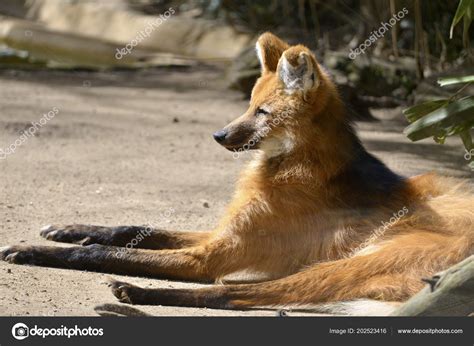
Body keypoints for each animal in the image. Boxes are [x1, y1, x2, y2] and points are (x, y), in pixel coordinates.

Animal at [0, 33, 474, 316]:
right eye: (248, 104)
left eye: (262, 112)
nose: (219, 135)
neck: (291, 164)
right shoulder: (221, 233)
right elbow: (131, 228)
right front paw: (68, 229)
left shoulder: (214, 255)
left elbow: (109, 252)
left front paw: (34, 249)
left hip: (356, 262)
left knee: (233, 293)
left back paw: (133, 294)